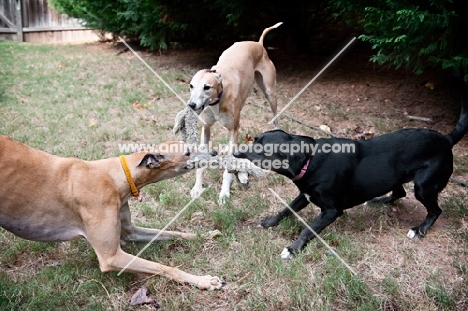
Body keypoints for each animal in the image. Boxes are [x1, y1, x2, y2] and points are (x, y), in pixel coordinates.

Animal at [0, 135, 222, 292]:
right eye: (187, 152)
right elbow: (164, 267)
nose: (215, 152)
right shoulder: (112, 257)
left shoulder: (129, 231)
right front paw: (203, 281)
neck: (114, 175)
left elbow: (172, 232)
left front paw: (205, 235)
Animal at [186, 22, 282, 202]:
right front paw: (197, 187)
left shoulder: (233, 129)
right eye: (191, 86)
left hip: (270, 93)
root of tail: (258, 44)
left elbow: (228, 171)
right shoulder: (206, 128)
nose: (191, 105)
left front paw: (224, 193)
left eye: (207, 87)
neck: (218, 98)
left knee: (275, 119)